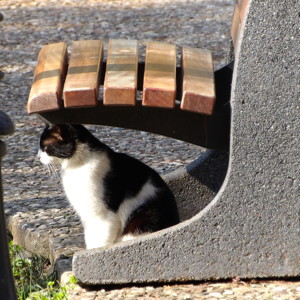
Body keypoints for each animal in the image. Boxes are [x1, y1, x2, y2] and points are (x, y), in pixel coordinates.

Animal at [37, 123, 178, 250]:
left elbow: (101, 239)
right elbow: (90, 237)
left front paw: (95, 252)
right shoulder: (87, 215)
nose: (38, 157)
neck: (76, 167)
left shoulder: (103, 214)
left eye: (45, 147)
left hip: (147, 215)